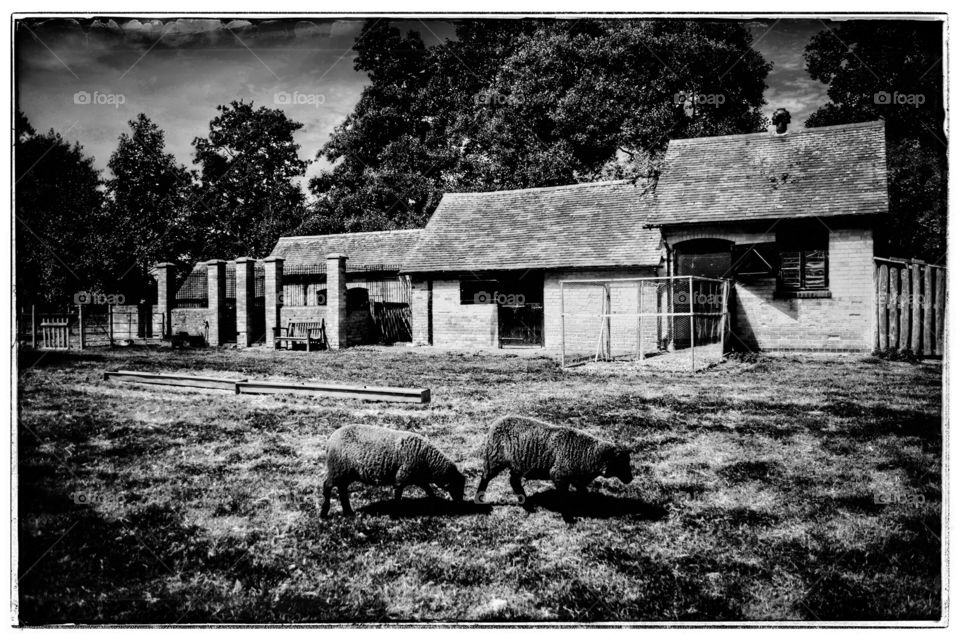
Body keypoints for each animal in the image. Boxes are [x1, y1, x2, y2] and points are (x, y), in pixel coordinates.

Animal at [320, 422, 466, 516]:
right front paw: (396, 512)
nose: (460, 503)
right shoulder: (402, 477)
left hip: (345, 473)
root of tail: (330, 440)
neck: (428, 461)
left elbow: (429, 491)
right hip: (338, 469)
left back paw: (348, 512)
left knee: (342, 489)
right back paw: (324, 512)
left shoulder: (419, 478)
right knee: (327, 486)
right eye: (457, 486)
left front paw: (435, 503)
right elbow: (398, 495)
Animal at [476, 416, 632, 510]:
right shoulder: (559, 474)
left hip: (517, 464)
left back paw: (526, 503)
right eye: (620, 463)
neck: (586, 453)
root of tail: (496, 422)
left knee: (513, 481)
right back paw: (479, 498)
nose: (630, 479)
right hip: (494, 458)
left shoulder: (576, 478)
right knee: (485, 478)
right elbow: (563, 495)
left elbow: (583, 491)